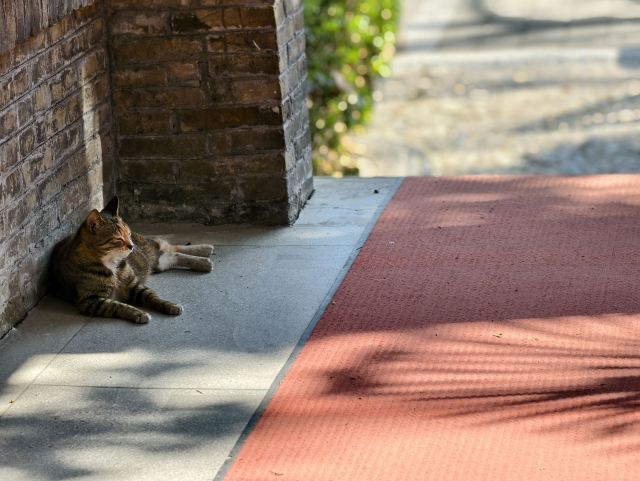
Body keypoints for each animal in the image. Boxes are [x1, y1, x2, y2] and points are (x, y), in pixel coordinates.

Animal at [50, 196, 214, 324]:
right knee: (171, 254)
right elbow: (117, 306)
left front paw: (169, 305)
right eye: (118, 239)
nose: (131, 245)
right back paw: (204, 259)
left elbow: (153, 297)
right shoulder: (91, 301)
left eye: (128, 234)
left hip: (150, 251)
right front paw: (138, 313)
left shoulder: (135, 286)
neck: (111, 262)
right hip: (157, 262)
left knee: (168, 245)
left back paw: (205, 250)